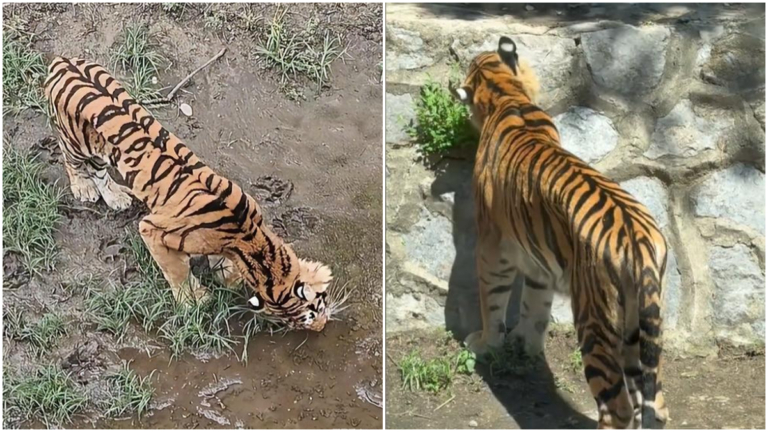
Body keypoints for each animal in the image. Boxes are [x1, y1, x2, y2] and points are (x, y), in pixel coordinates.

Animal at [43, 56, 333, 331]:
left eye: (318, 306)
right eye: (303, 318)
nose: (321, 327)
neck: (250, 237)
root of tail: (61, 61)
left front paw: (226, 277)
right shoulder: (152, 229)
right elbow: (177, 271)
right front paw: (194, 301)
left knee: (100, 171)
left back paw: (117, 197)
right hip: (77, 143)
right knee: (72, 161)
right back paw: (84, 188)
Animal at [452, 37, 669, 429]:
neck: (506, 95)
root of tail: (638, 240)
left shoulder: (492, 246)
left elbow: (492, 299)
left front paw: (487, 342)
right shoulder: (538, 258)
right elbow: (534, 307)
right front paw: (526, 346)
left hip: (595, 322)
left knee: (616, 407)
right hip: (642, 326)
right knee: (654, 404)